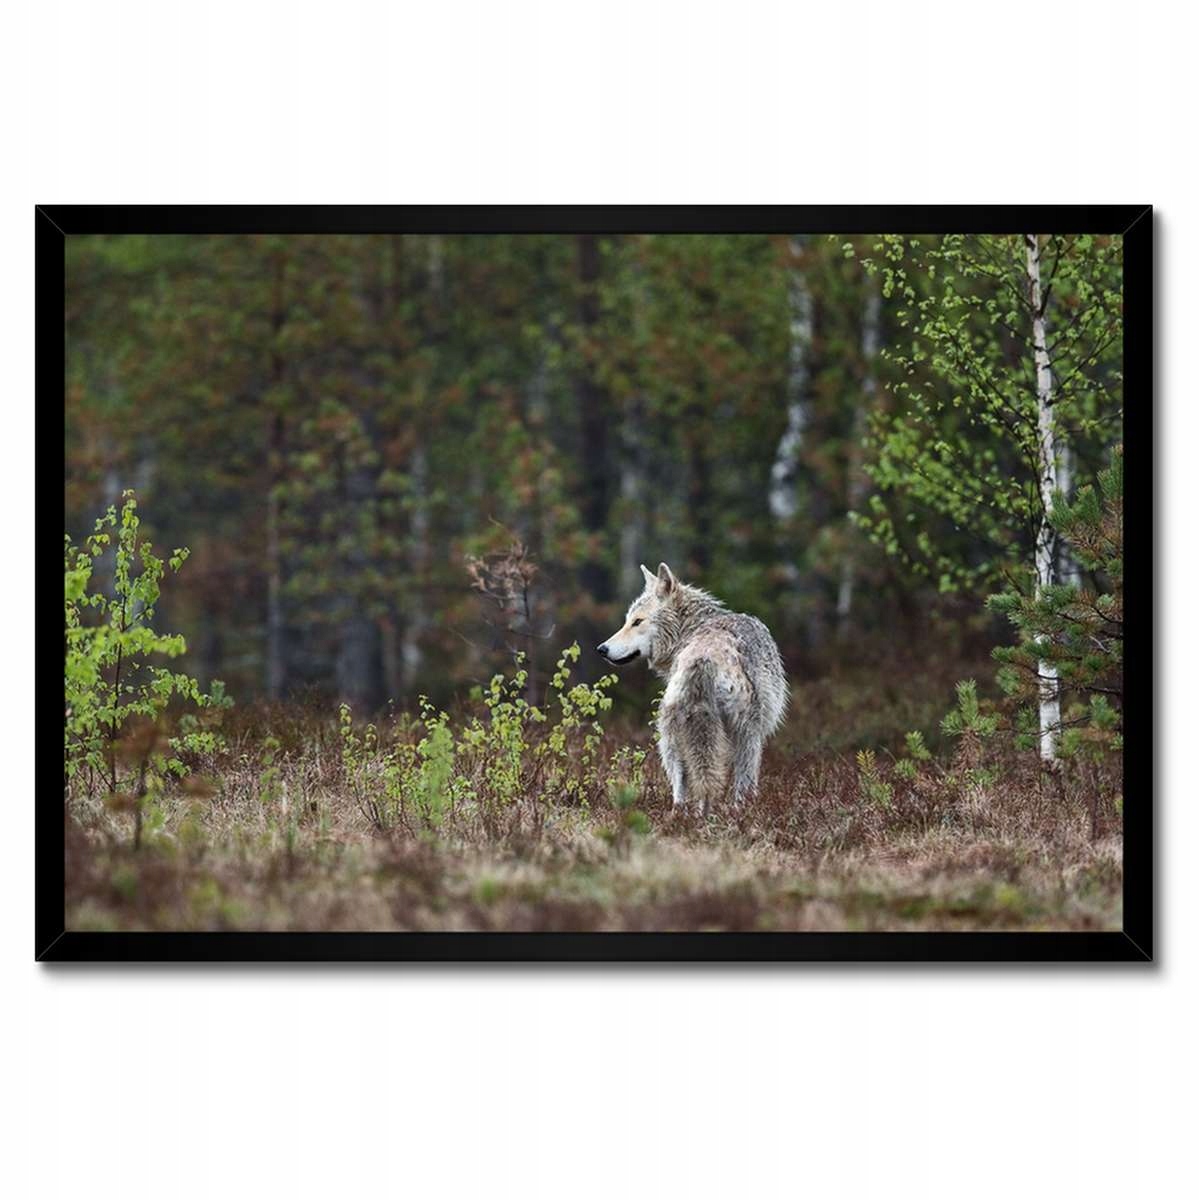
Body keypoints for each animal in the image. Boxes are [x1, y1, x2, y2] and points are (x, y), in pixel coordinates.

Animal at [597, 562, 787, 815]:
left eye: (636, 621)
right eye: (628, 621)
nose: (601, 649)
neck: (690, 629)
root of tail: (703, 659)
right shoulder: (755, 734)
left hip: (672, 735)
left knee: (682, 788)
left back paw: (684, 816)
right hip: (743, 735)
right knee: (737, 784)